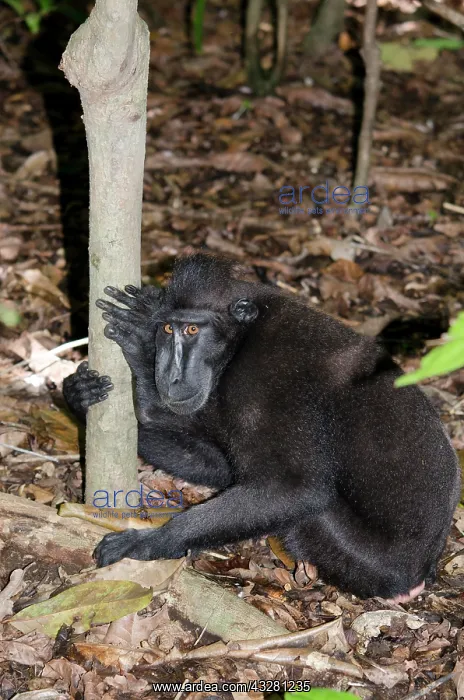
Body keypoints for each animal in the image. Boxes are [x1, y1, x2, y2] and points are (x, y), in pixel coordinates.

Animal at [63, 253, 460, 601]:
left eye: (192, 329)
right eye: (166, 329)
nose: (171, 377)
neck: (242, 339)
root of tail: (424, 568)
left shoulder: (265, 381)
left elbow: (294, 487)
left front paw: (152, 542)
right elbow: (222, 471)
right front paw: (79, 397)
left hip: (361, 559)